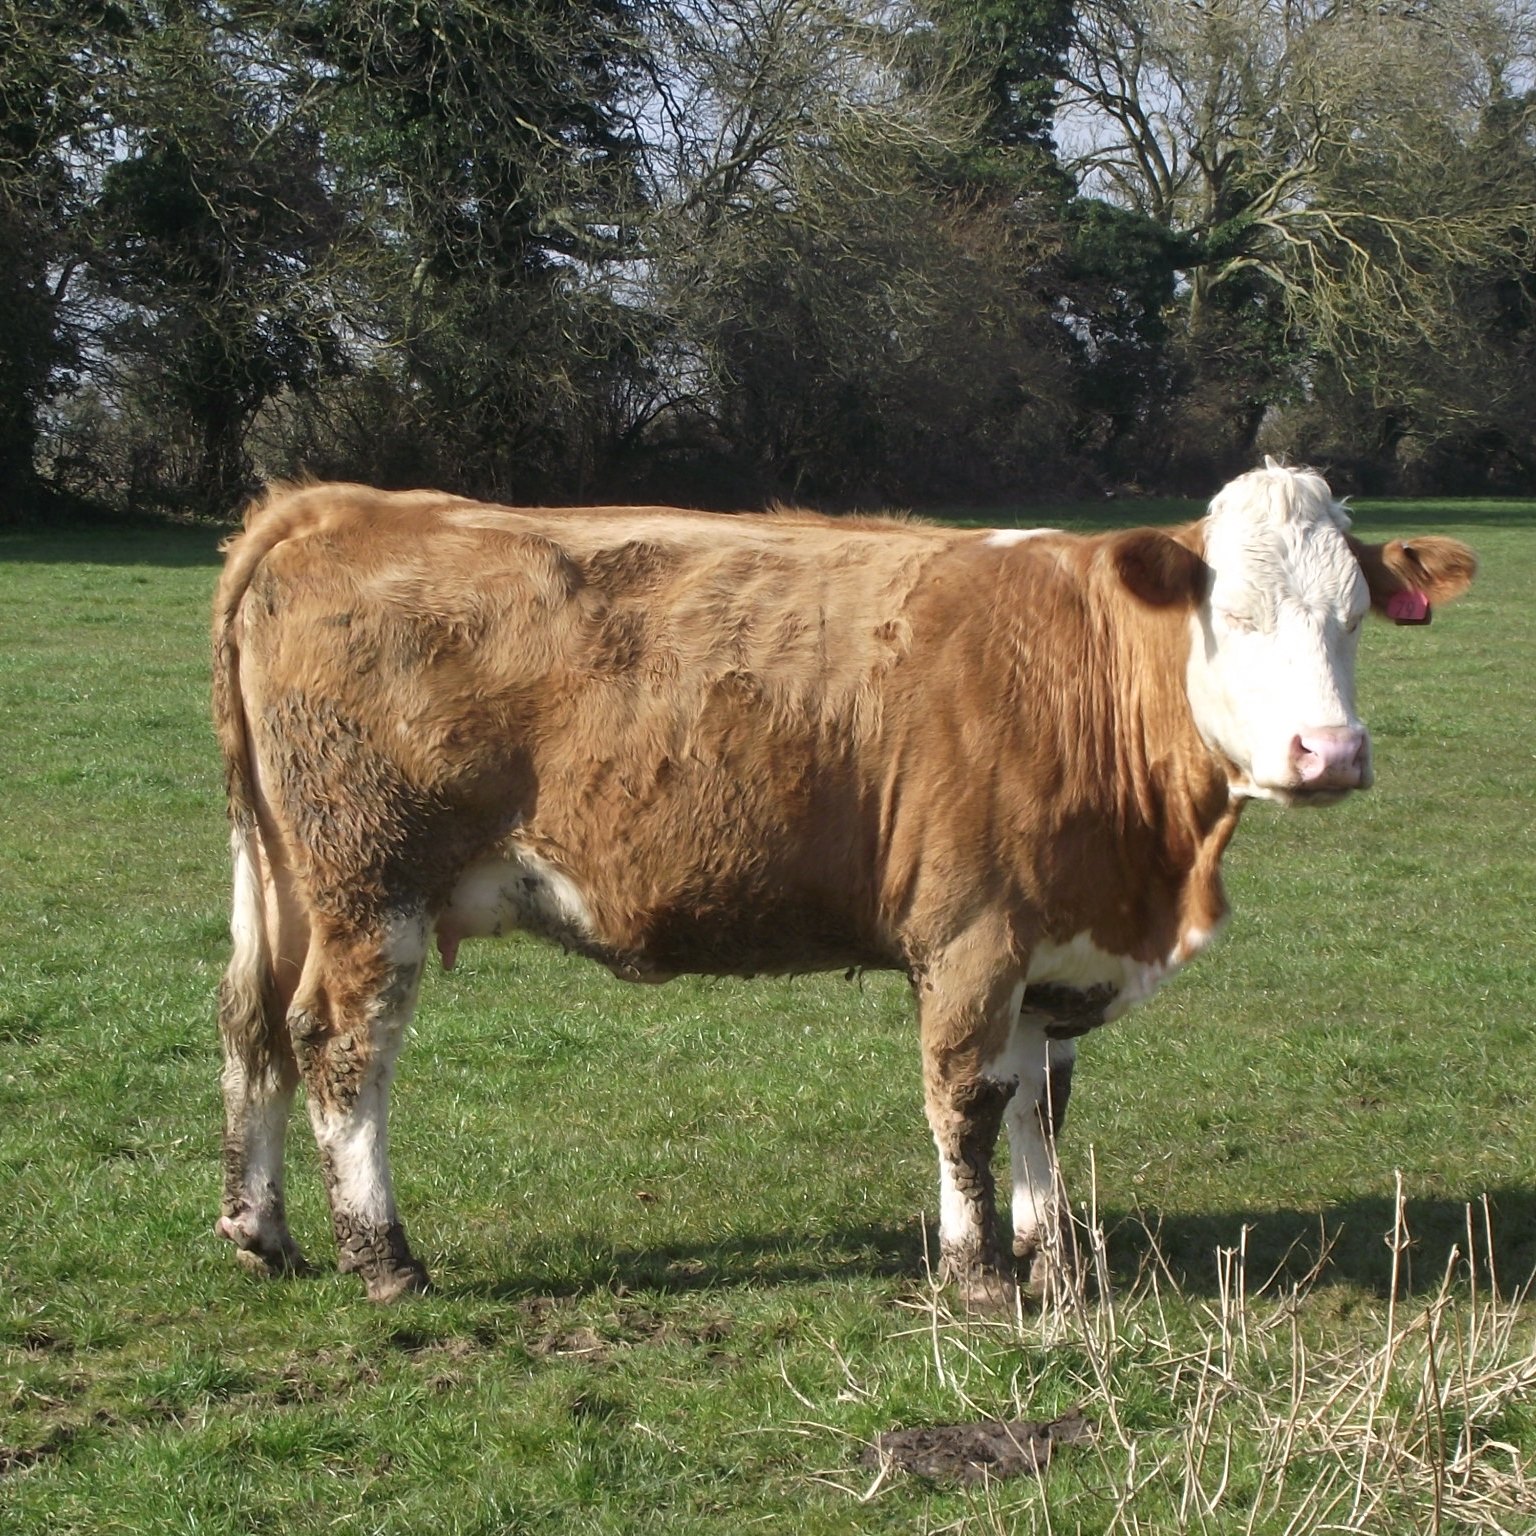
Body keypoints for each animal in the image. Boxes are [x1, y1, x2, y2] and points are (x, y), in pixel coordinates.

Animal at [211, 461, 1475, 1305]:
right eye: (1237, 614)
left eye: (1355, 617)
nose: (1331, 753)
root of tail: (338, 503)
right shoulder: (973, 934)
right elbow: (968, 1101)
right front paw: (978, 1278)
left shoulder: (1049, 944)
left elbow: (1041, 1103)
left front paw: (1053, 1258)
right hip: (372, 883)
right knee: (340, 1047)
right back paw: (385, 1259)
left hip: (281, 880)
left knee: (251, 1024)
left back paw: (262, 1230)